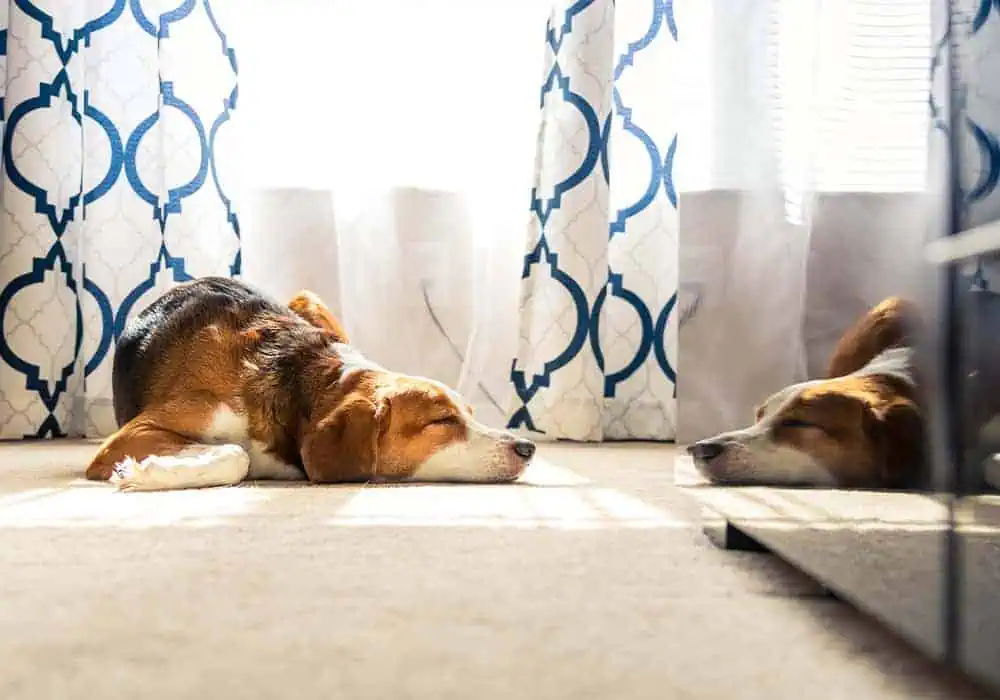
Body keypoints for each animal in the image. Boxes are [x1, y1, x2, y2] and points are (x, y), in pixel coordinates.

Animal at [88, 278, 540, 492]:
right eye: (441, 421)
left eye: (470, 413)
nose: (527, 448)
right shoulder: (128, 436)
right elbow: (236, 455)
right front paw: (145, 472)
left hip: (308, 299)